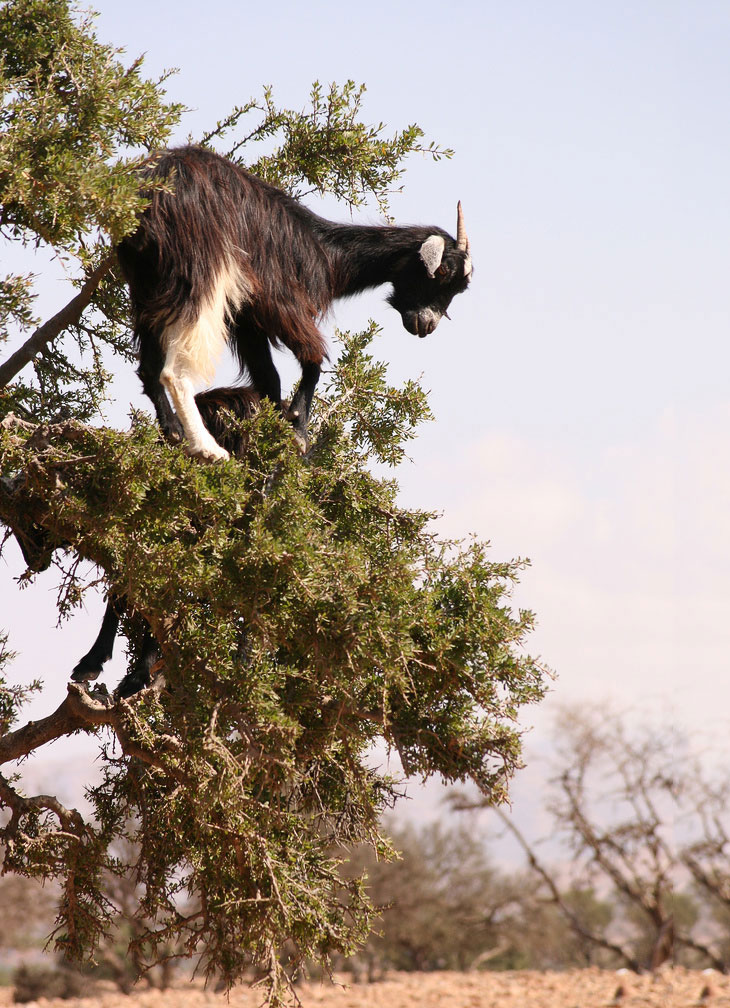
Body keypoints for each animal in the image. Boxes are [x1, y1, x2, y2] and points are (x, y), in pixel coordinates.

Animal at [118, 144, 473, 459]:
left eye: (459, 290)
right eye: (441, 272)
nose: (428, 325)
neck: (326, 255)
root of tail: (155, 188)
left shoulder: (247, 318)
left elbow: (269, 378)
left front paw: (272, 429)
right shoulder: (278, 300)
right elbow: (313, 358)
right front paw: (298, 429)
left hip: (147, 281)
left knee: (148, 365)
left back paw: (173, 431)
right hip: (201, 268)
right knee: (175, 368)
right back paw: (207, 448)